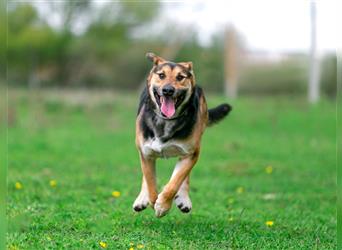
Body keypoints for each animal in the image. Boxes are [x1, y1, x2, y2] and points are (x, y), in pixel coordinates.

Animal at [132, 52, 231, 217]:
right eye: (161, 75)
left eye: (180, 77)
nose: (168, 90)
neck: (166, 120)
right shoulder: (146, 153)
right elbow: (150, 181)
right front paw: (152, 200)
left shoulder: (190, 153)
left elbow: (176, 181)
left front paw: (163, 205)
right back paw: (142, 199)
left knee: (184, 176)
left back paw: (183, 199)